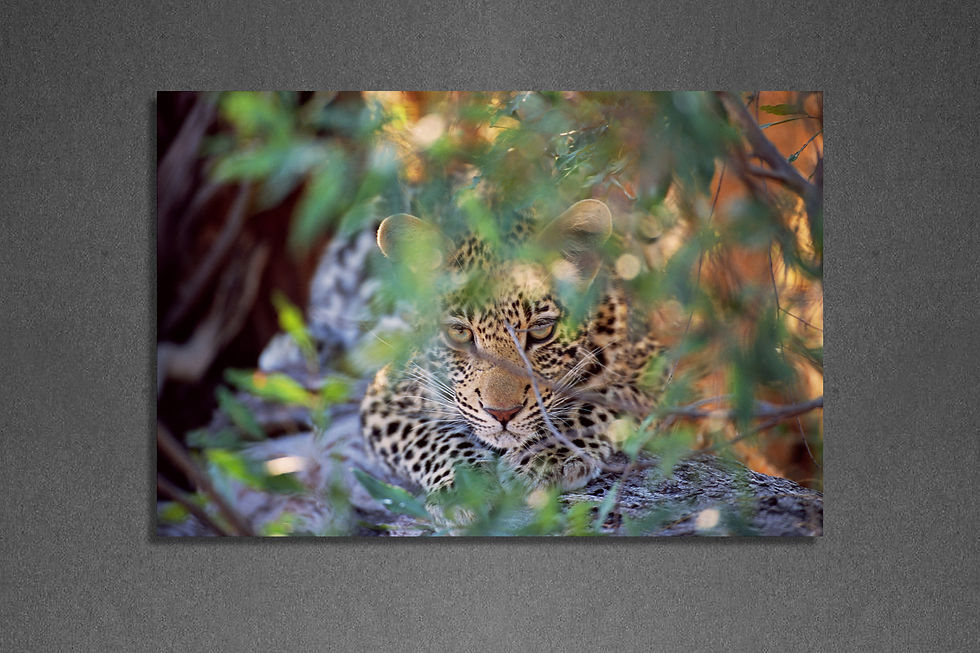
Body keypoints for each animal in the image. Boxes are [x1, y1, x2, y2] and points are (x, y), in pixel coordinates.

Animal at [359, 199, 663, 494]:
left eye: (541, 330)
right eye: (459, 332)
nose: (502, 414)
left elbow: (597, 403)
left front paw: (541, 456)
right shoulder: (386, 394)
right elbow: (431, 436)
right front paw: (467, 485)